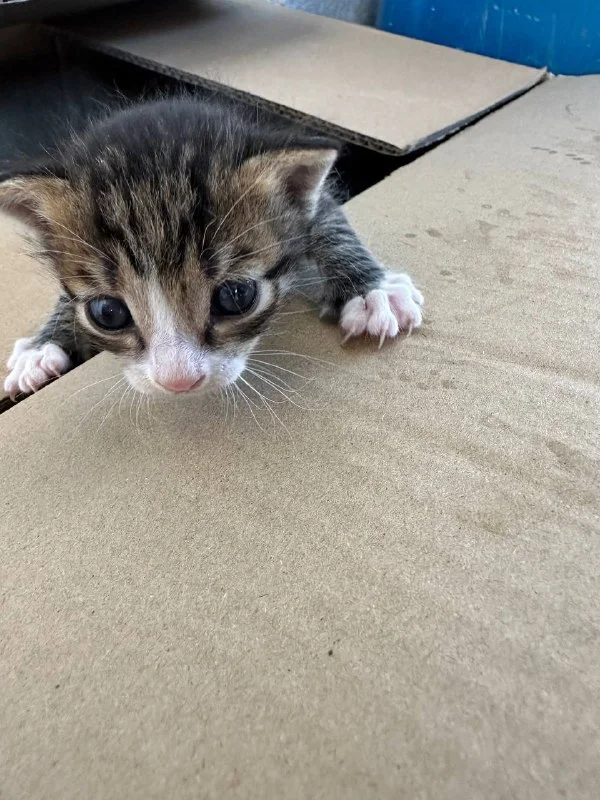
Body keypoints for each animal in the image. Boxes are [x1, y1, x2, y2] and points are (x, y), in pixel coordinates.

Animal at [1, 97, 423, 400]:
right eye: (108, 312)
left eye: (236, 296)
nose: (179, 382)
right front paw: (43, 345)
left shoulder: (309, 202)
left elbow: (328, 220)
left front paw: (370, 291)